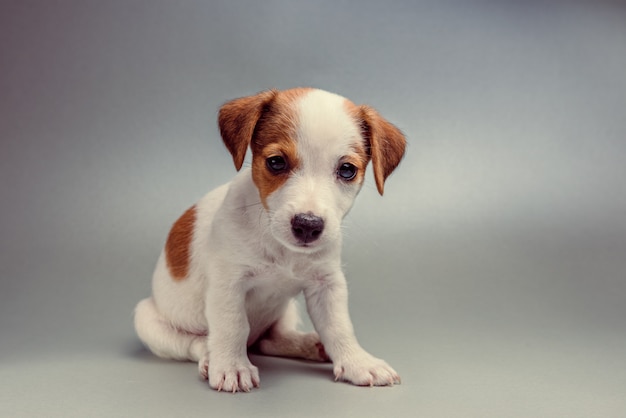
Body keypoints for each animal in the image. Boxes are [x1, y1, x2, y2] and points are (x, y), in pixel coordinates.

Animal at [133, 87, 404, 392]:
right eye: (276, 162)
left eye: (347, 170)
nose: (308, 225)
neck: (281, 248)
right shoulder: (228, 285)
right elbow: (232, 326)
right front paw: (231, 366)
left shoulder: (327, 284)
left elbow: (339, 326)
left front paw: (358, 362)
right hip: (148, 321)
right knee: (196, 343)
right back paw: (210, 356)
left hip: (286, 312)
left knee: (269, 339)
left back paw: (308, 344)